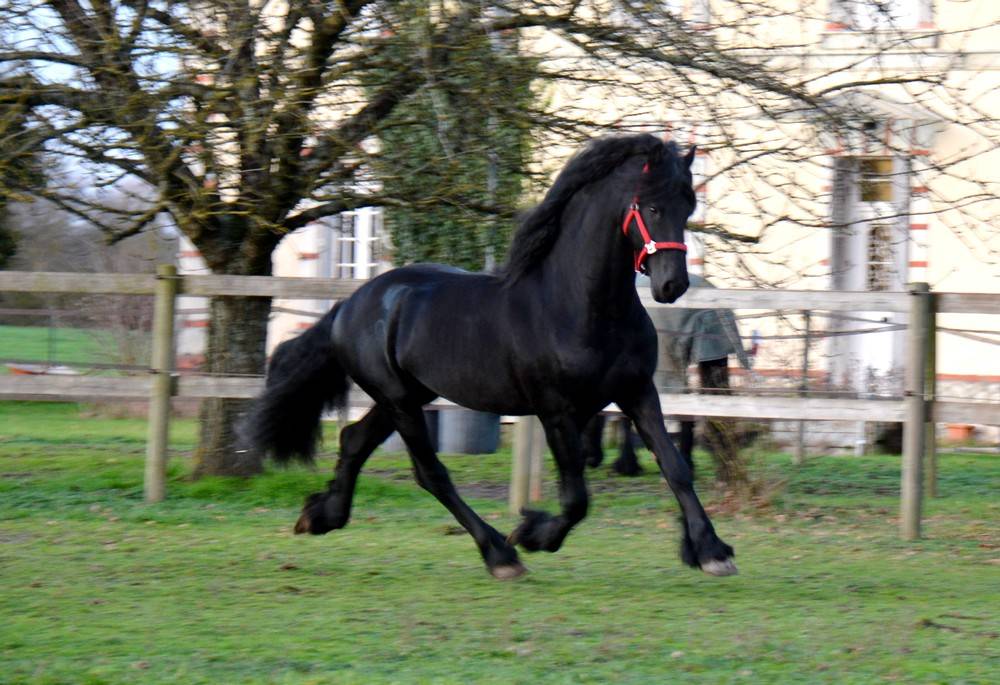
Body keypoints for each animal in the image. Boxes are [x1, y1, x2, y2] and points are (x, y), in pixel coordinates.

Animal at [247, 133, 737, 579]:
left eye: (689, 205)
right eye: (650, 207)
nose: (672, 285)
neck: (577, 307)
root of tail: (351, 303)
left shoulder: (636, 392)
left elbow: (676, 468)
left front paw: (711, 551)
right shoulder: (556, 410)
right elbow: (576, 497)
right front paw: (533, 533)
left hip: (406, 395)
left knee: (353, 441)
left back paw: (320, 516)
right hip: (398, 400)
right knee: (430, 473)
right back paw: (500, 554)